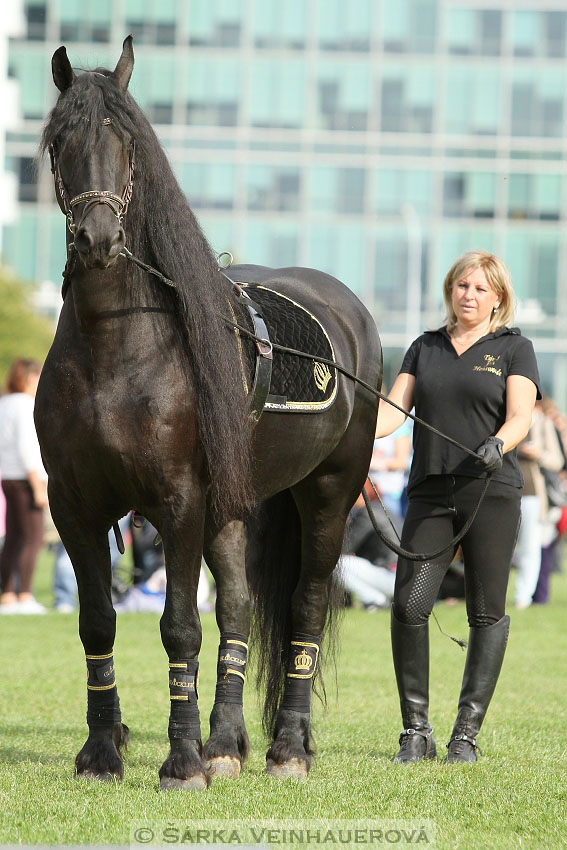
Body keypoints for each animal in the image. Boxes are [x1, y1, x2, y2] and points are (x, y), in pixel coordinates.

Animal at [34, 36, 382, 784]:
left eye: (128, 141)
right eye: (59, 141)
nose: (97, 239)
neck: (117, 349)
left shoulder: (179, 501)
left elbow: (179, 627)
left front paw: (182, 759)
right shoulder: (73, 505)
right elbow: (99, 623)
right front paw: (104, 750)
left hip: (327, 495)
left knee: (305, 605)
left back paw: (285, 748)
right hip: (234, 505)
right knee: (241, 606)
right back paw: (227, 743)